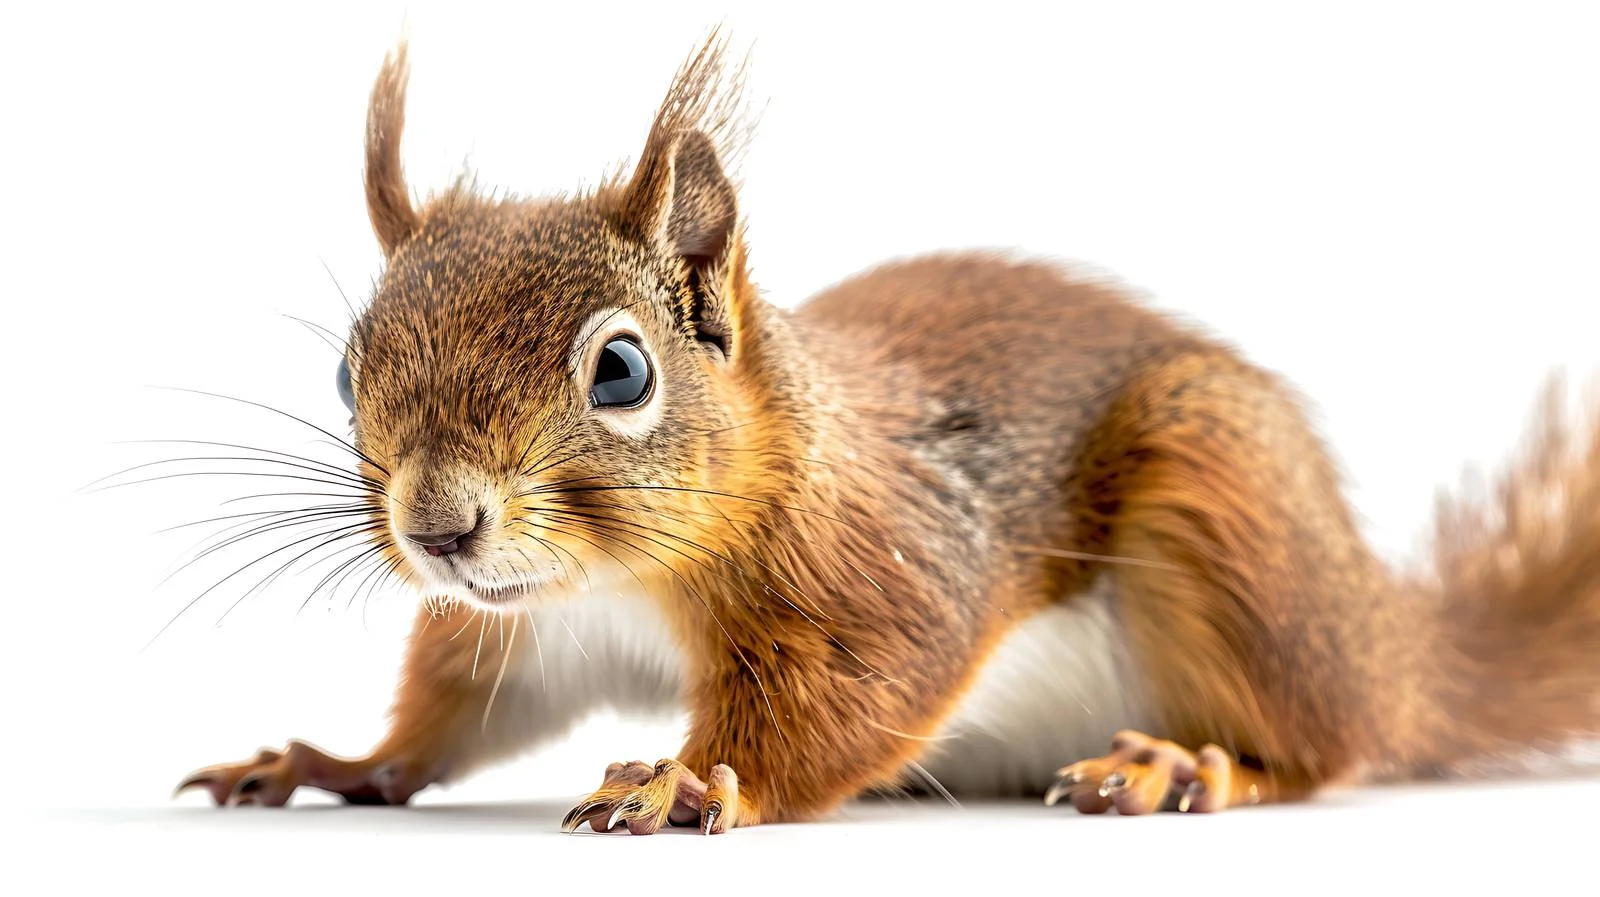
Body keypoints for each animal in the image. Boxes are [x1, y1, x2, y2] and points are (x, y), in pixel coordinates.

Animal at [175, 33, 1600, 832]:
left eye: (620, 371)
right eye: (348, 369)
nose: (440, 527)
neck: (622, 582)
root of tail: (1388, 643)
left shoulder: (880, 568)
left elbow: (854, 697)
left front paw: (690, 783)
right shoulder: (525, 636)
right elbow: (453, 720)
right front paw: (329, 760)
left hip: (1232, 515)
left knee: (1322, 743)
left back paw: (1188, 767)